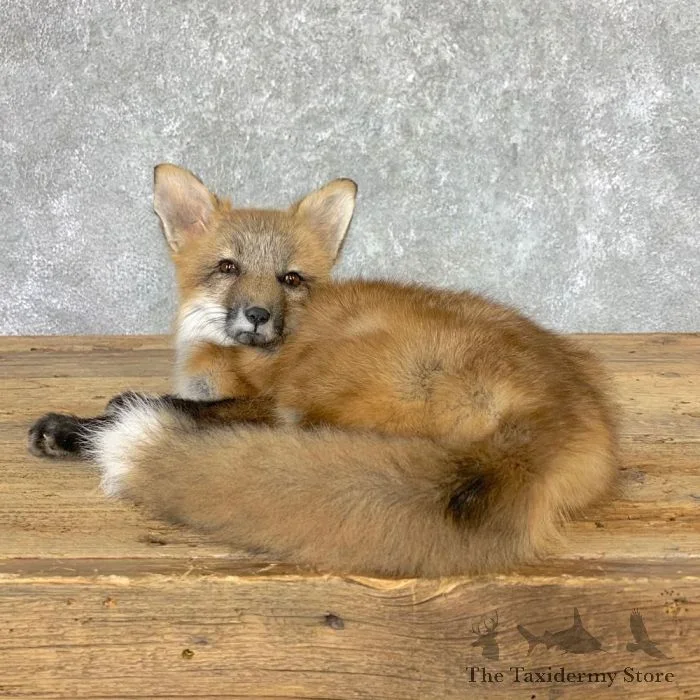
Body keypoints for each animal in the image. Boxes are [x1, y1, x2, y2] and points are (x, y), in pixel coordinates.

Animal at [28, 164, 618, 578]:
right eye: (227, 267)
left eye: (290, 278)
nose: (258, 315)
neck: (223, 353)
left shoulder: (261, 398)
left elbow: (144, 403)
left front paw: (71, 427)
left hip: (320, 384)